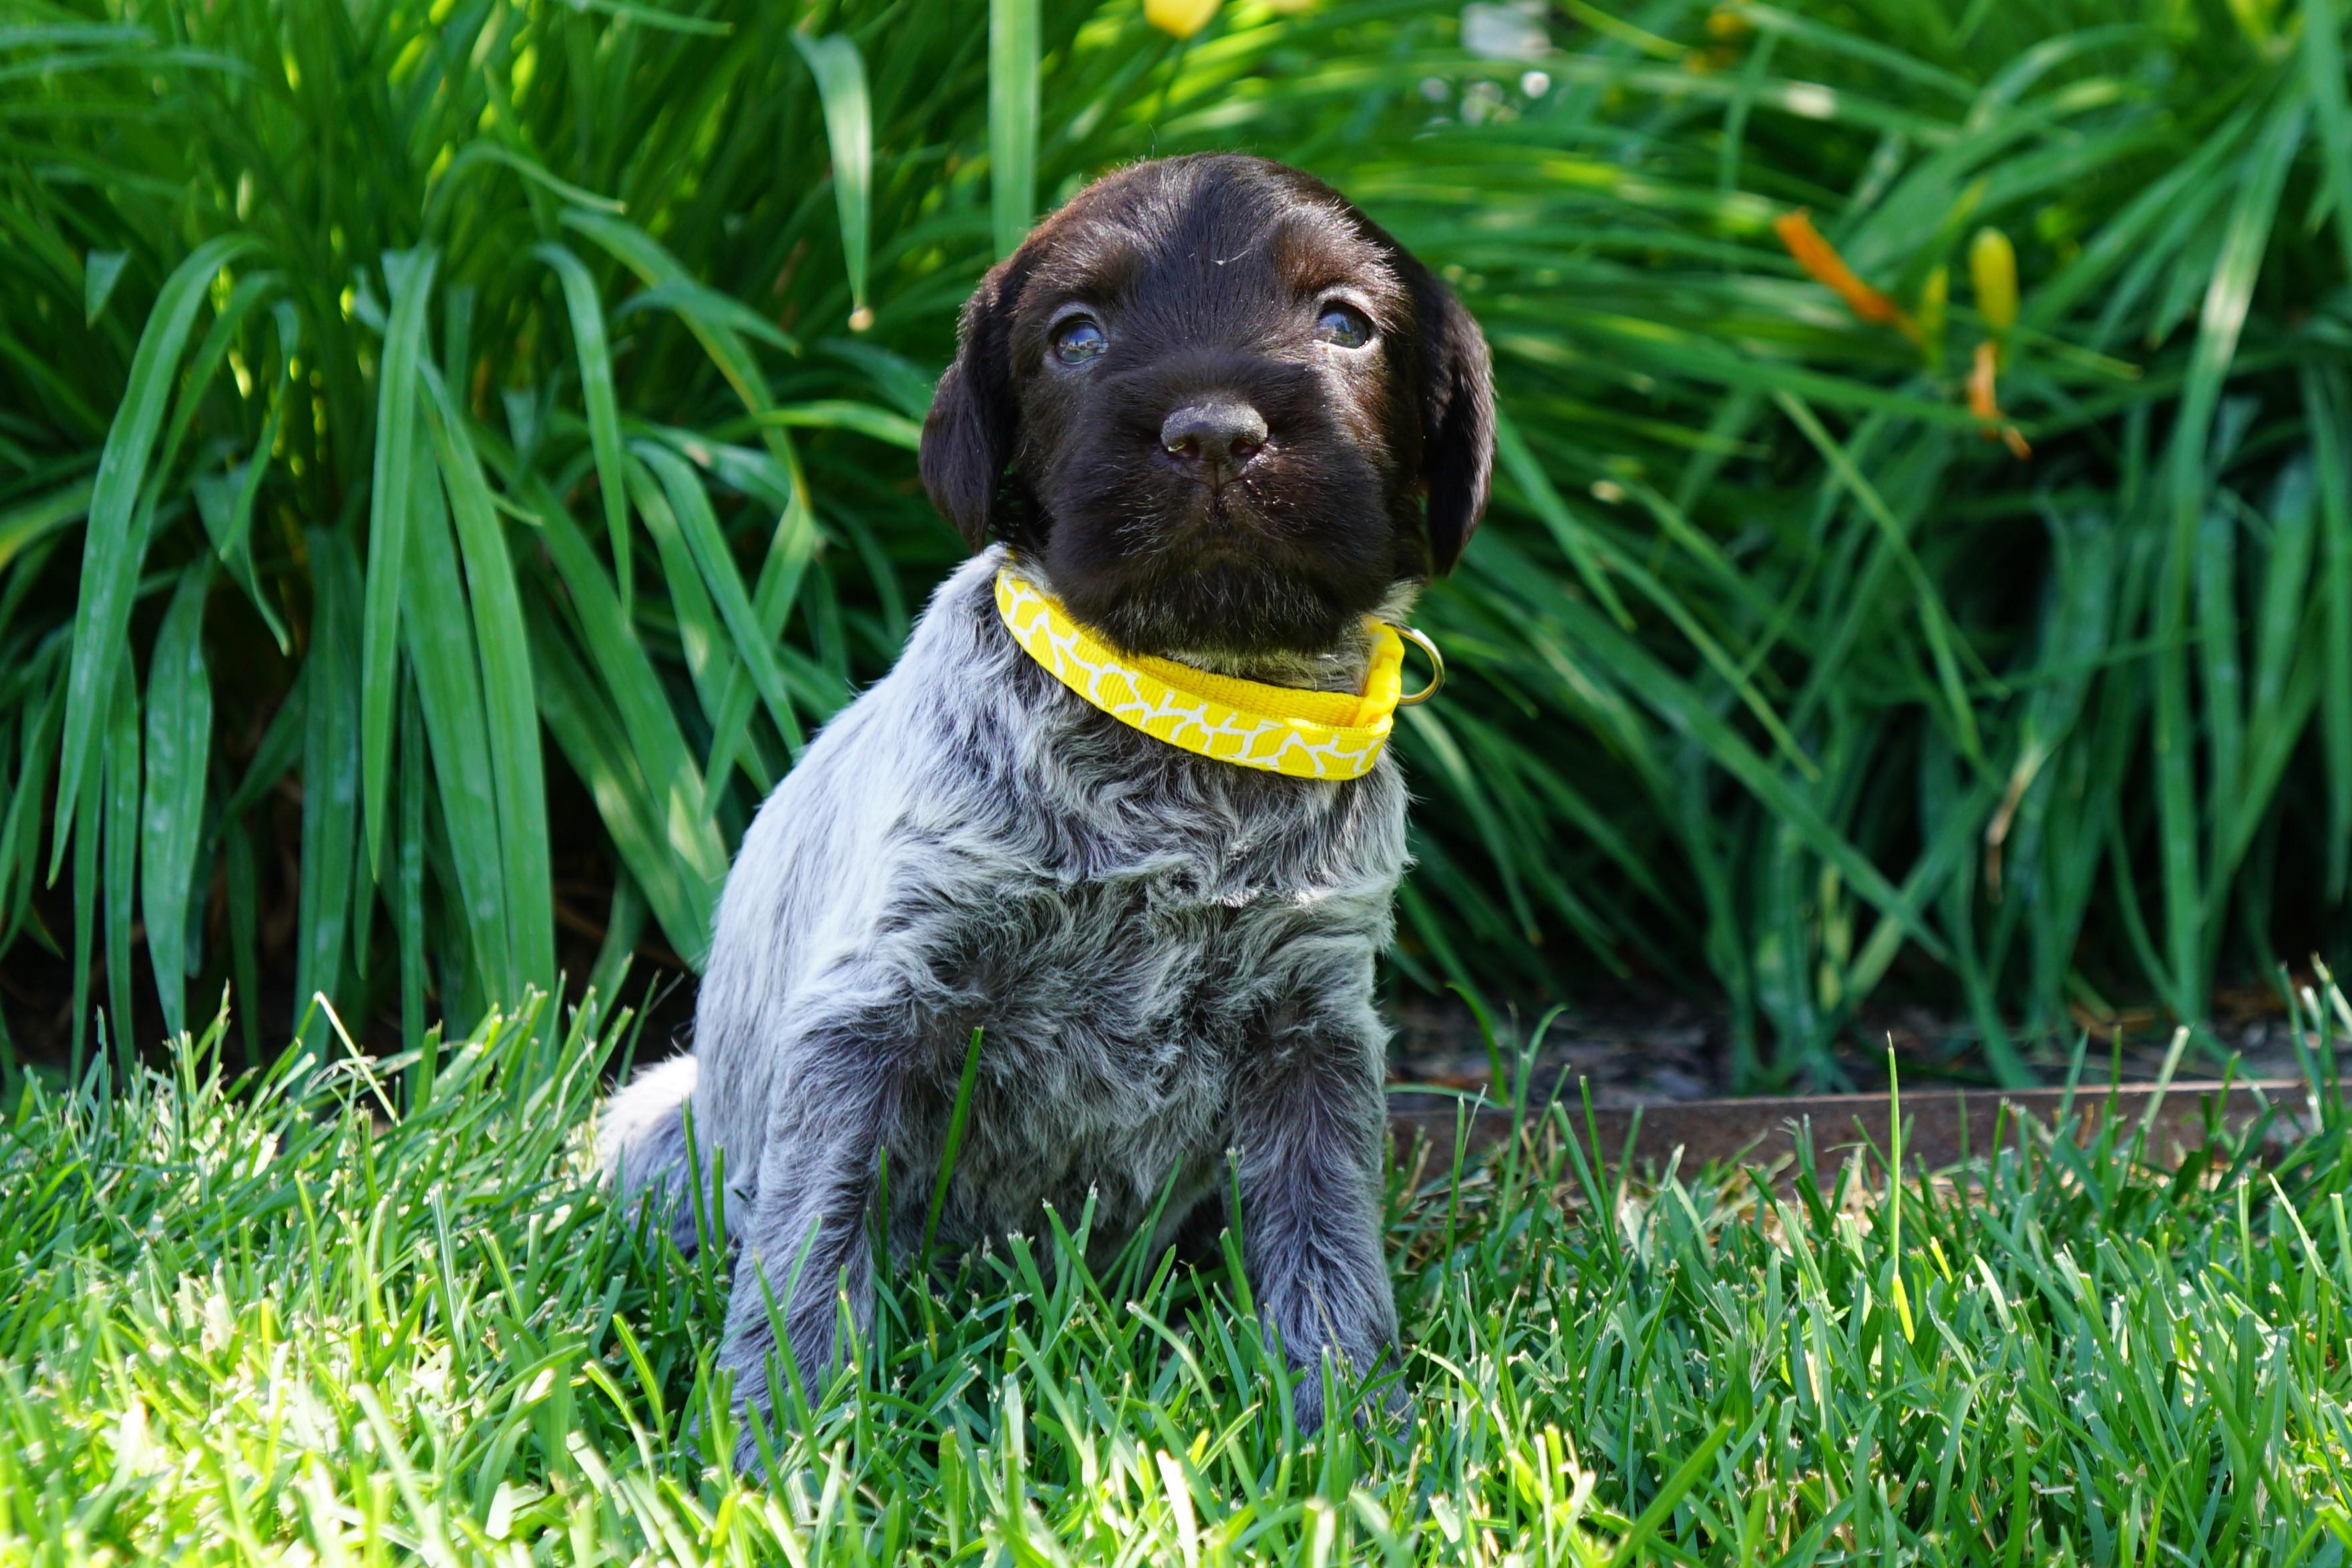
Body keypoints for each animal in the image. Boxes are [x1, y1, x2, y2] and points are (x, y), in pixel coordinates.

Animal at [602, 153, 1492, 1455]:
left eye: (1344, 323)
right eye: (1075, 336)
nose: (1213, 435)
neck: (1190, 715)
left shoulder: (1312, 1031)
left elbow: (1326, 1253)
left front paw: (1352, 1436)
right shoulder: (874, 1008)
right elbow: (811, 1240)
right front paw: (782, 1442)